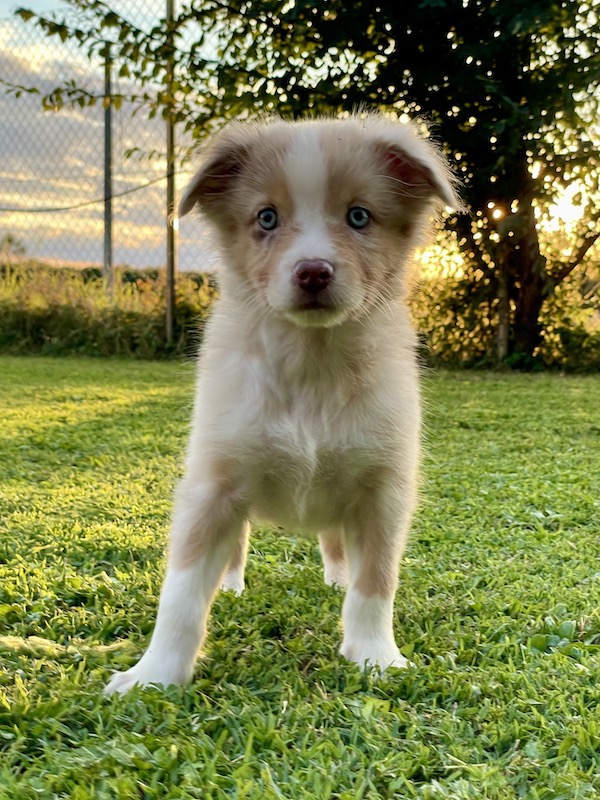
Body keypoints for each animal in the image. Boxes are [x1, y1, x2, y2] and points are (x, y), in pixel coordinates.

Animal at [105, 112, 460, 692]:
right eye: (266, 218)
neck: (311, 363)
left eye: (359, 216)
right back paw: (230, 585)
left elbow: (376, 582)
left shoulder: (382, 490)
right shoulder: (213, 485)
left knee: (337, 544)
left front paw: (376, 657)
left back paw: (336, 578)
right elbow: (180, 594)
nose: (313, 272)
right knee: (238, 548)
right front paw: (153, 675)